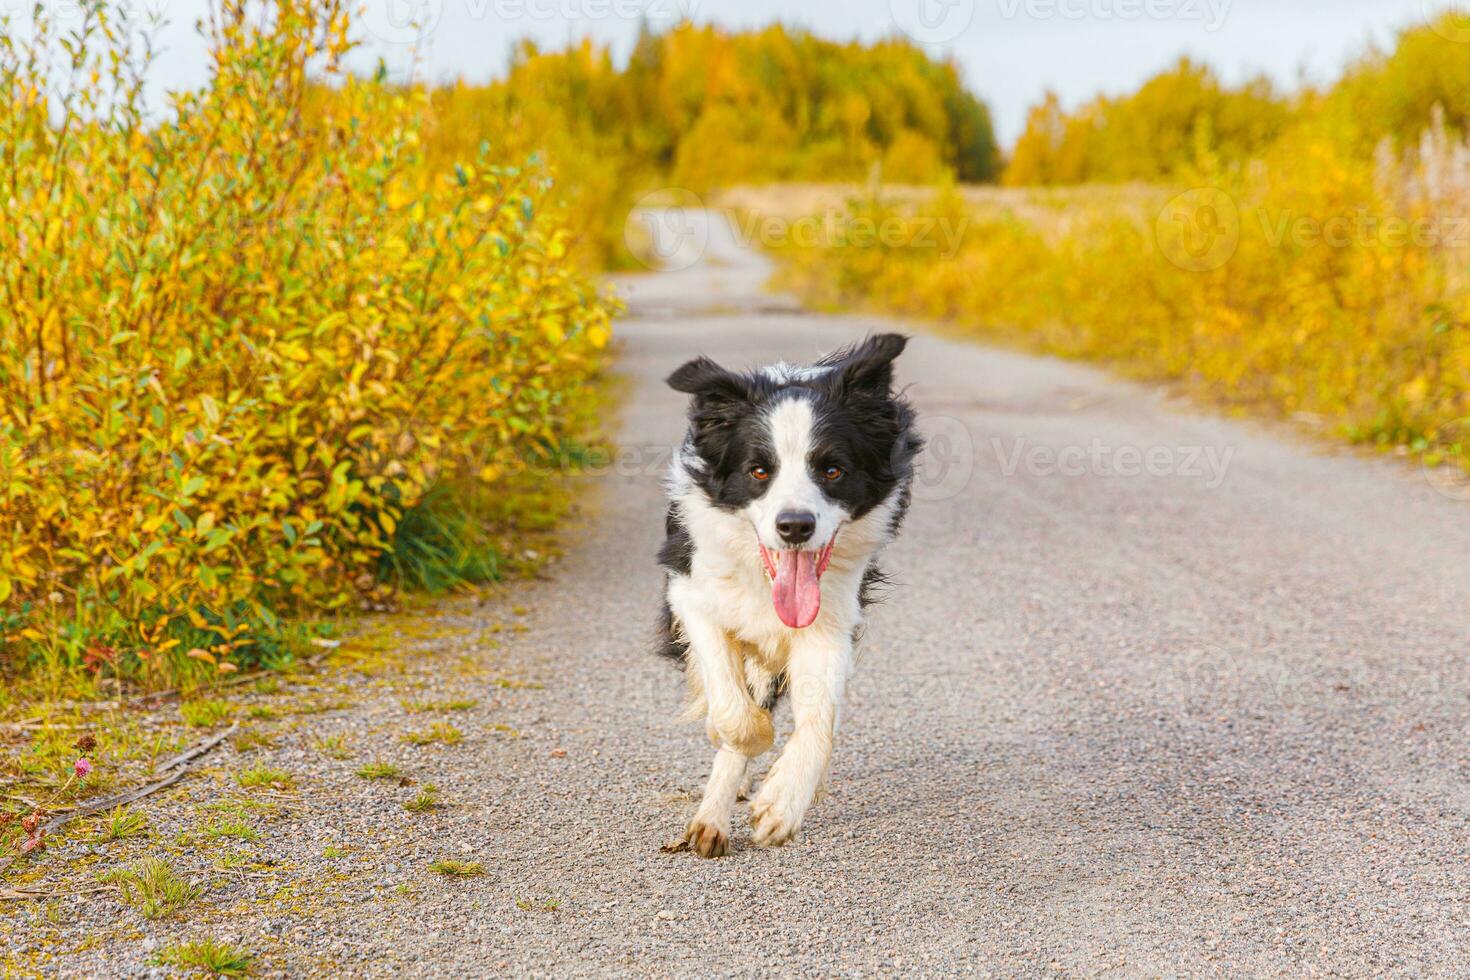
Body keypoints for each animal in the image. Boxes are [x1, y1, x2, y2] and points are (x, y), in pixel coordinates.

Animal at [658, 334, 917, 858]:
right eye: (759, 471)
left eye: (832, 470)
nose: (795, 526)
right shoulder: (689, 592)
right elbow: (735, 713)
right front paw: (744, 738)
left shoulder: (829, 619)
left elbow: (819, 720)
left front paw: (783, 801)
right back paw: (713, 815)